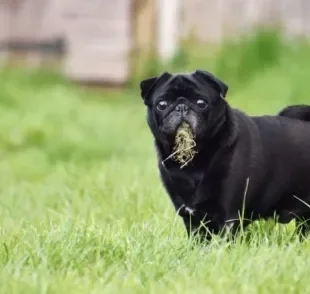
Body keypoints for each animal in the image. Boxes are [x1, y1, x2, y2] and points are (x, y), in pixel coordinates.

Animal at [140, 70, 310, 242]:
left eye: (201, 103)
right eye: (162, 105)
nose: (182, 106)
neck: (194, 161)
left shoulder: (229, 217)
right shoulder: (193, 220)